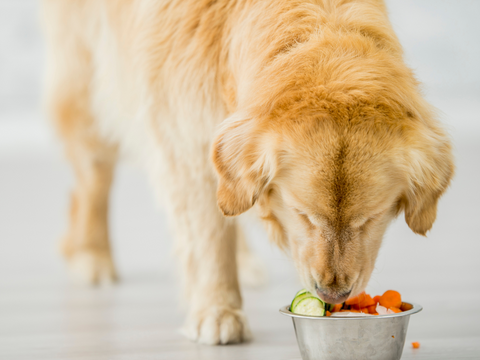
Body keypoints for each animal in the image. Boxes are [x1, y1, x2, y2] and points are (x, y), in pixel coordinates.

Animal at [41, 0, 454, 344]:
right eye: (303, 214)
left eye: (369, 219)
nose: (332, 295)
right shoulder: (187, 141)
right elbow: (208, 236)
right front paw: (218, 311)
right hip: (88, 85)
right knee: (92, 180)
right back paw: (91, 254)